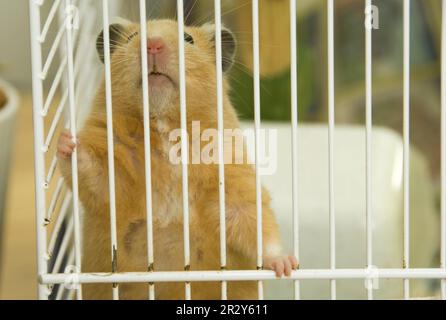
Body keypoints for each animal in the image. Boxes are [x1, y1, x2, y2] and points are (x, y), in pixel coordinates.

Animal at [57, 18, 298, 300]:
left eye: (187, 39)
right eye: (132, 37)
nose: (153, 44)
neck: (164, 127)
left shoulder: (232, 177)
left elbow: (254, 221)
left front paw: (286, 265)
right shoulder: (113, 177)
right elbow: (93, 174)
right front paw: (65, 140)